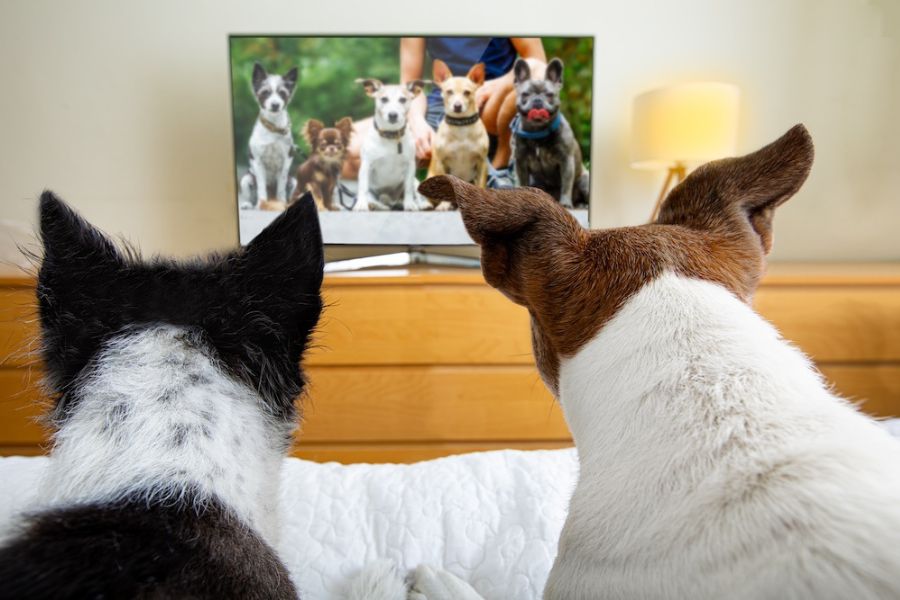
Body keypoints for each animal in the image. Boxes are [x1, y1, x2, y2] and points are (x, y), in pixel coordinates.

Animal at [239, 63, 298, 209]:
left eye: (282, 93)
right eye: (265, 92)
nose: (275, 105)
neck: (273, 128)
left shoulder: (286, 160)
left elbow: (281, 186)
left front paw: (282, 202)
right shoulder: (258, 161)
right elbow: (261, 186)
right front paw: (261, 203)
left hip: (294, 181)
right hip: (245, 179)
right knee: (251, 197)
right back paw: (249, 204)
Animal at [426, 58, 488, 209]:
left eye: (467, 92)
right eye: (449, 92)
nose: (457, 106)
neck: (461, 127)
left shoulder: (482, 162)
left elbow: (481, 185)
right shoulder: (441, 162)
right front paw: (443, 205)